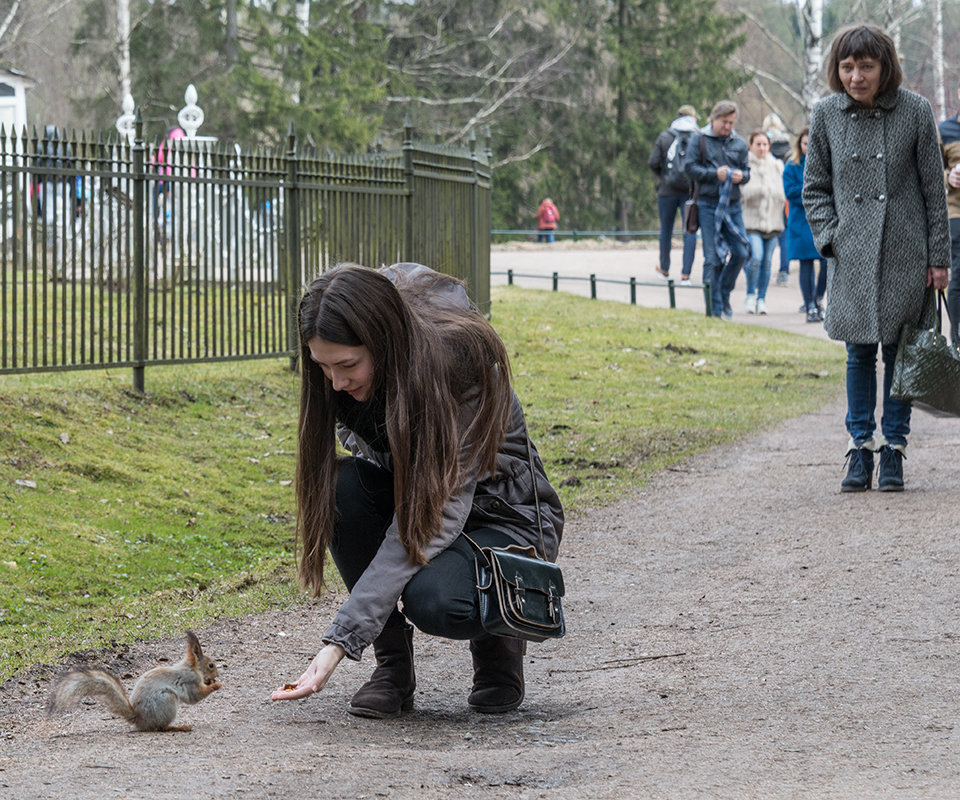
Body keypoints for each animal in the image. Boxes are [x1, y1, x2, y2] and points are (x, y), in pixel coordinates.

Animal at [48, 632, 223, 732]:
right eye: (211, 665)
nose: (217, 674)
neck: (192, 667)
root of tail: (140, 719)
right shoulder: (190, 680)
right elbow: (194, 697)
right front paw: (216, 685)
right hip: (166, 700)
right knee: (161, 728)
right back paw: (179, 727)